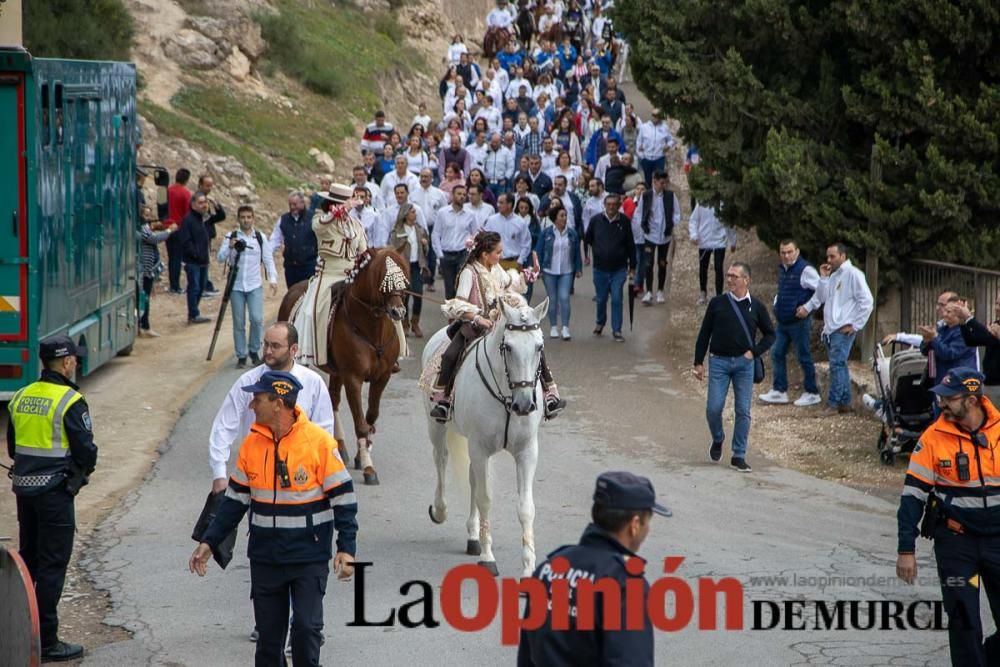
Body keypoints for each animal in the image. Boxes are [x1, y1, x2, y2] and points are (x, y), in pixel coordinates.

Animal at [276, 248, 408, 482]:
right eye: (383, 276)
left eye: (402, 271)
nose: (398, 312)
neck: (373, 328)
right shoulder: (353, 377)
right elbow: (360, 423)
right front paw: (368, 467)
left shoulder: (382, 377)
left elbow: (370, 417)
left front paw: (361, 454)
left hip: (337, 372)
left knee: (333, 400)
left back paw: (342, 448)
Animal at [420, 298, 552, 580]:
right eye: (508, 347)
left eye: (539, 346)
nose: (525, 405)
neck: (507, 397)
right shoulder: (480, 448)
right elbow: (485, 499)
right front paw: (488, 558)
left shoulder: (526, 452)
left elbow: (525, 507)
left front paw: (528, 567)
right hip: (436, 426)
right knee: (441, 460)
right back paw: (440, 510)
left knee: (471, 478)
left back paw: (473, 537)